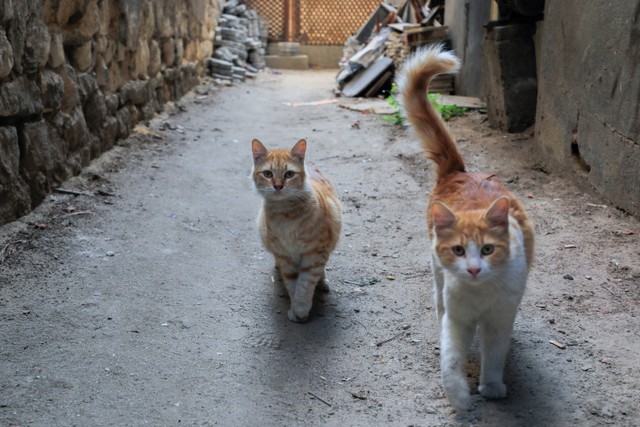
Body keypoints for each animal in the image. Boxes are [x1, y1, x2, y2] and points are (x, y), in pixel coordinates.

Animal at [250, 140, 342, 324]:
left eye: (289, 174)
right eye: (268, 174)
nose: (278, 186)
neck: (285, 215)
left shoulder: (314, 254)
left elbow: (304, 286)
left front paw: (300, 310)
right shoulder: (285, 256)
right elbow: (293, 285)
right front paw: (297, 310)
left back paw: (322, 281)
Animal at [398, 45, 532, 410]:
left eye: (487, 249)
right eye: (458, 250)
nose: (472, 269)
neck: (480, 293)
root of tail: (460, 172)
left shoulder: (500, 320)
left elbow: (495, 355)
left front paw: (491, 386)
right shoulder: (457, 320)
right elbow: (450, 358)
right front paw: (458, 395)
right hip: (436, 275)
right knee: (438, 303)